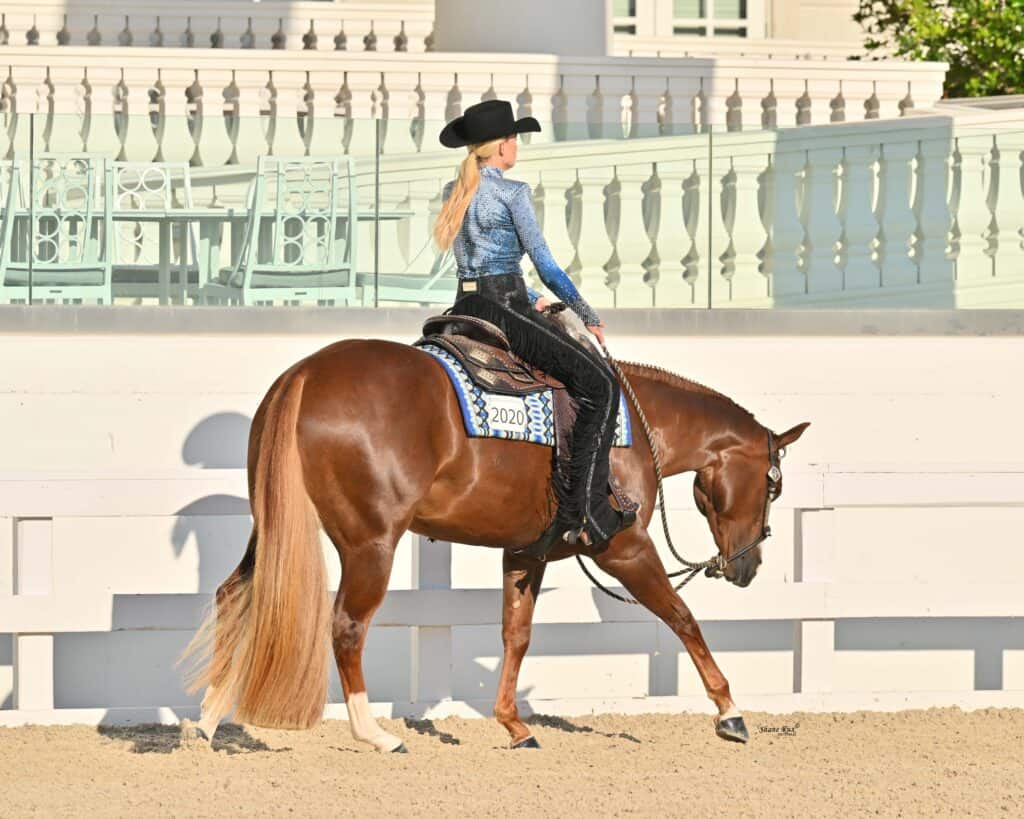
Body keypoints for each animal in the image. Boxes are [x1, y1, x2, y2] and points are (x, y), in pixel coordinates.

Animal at [181, 336, 809, 752]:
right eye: (774, 484)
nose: (748, 565)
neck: (635, 425)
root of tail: (306, 374)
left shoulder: (527, 552)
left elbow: (516, 634)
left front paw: (514, 723)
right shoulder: (624, 549)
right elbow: (682, 618)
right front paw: (730, 712)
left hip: (271, 526)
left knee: (235, 597)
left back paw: (207, 721)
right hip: (370, 545)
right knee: (346, 626)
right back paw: (374, 734)